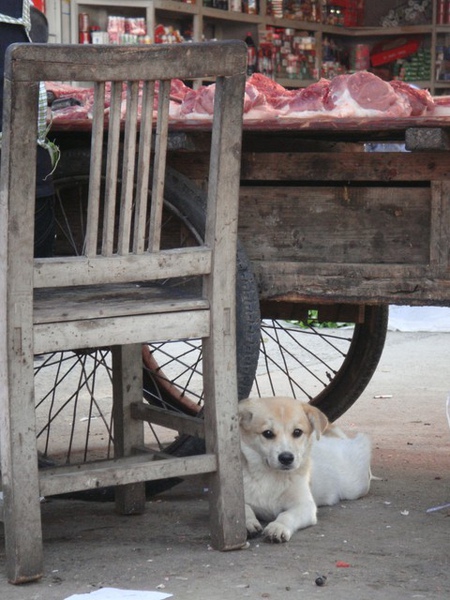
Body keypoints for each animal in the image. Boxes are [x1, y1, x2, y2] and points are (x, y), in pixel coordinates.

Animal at [239, 396, 372, 540]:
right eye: (267, 433)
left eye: (297, 432)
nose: (286, 458)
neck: (270, 476)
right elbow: (245, 509)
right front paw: (248, 523)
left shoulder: (305, 506)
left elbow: (287, 515)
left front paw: (278, 527)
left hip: (355, 486)